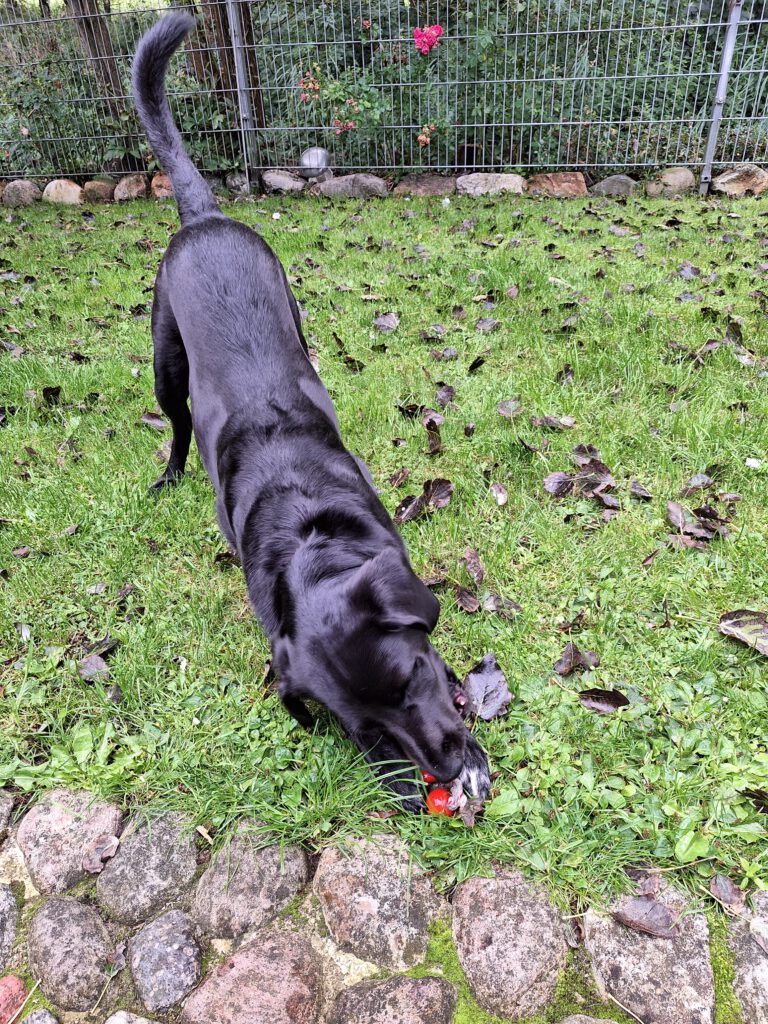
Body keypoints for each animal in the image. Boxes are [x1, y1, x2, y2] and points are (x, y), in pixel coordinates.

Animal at [132, 8, 489, 806]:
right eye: (361, 730)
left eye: (412, 675)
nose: (442, 766)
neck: (307, 537)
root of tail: (205, 216)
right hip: (166, 365)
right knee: (176, 426)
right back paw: (168, 475)